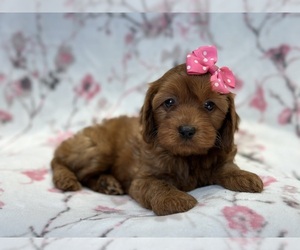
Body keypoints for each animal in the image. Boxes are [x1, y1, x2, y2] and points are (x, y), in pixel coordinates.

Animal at [51, 63, 262, 216]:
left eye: (210, 105)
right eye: (169, 102)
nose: (187, 130)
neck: (187, 158)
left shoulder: (220, 156)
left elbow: (227, 168)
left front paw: (245, 176)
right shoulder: (142, 178)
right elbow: (158, 184)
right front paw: (173, 200)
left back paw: (107, 184)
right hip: (97, 149)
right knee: (60, 161)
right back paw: (66, 179)